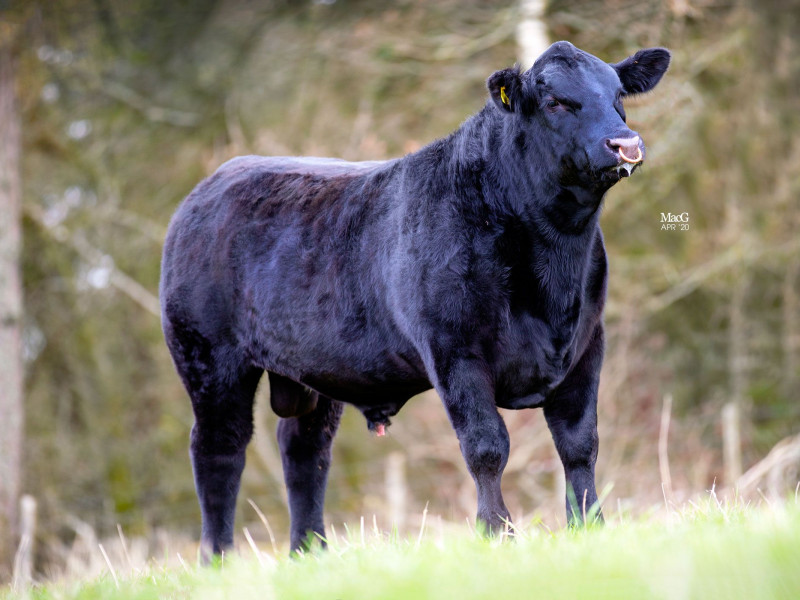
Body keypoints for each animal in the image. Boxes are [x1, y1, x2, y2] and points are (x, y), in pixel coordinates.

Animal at [160, 41, 670, 559]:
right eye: (555, 102)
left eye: (617, 95)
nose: (625, 144)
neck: (553, 268)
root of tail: (216, 180)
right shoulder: (454, 350)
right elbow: (487, 447)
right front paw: (497, 532)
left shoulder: (586, 345)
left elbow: (579, 444)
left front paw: (590, 527)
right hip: (209, 359)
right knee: (219, 450)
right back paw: (219, 560)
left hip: (314, 368)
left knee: (305, 451)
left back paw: (311, 552)